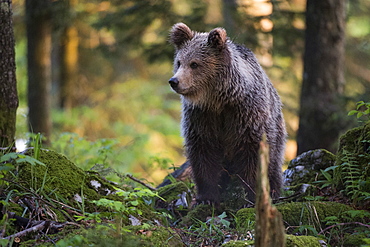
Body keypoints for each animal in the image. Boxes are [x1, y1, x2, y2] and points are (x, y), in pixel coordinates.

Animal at [168, 22, 286, 205]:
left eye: (194, 64)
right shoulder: (201, 116)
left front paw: (252, 195)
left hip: (276, 127)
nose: (174, 81)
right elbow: (203, 152)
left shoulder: (246, 114)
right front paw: (206, 197)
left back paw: (273, 190)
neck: (219, 100)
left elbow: (253, 154)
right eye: (179, 62)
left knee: (274, 162)